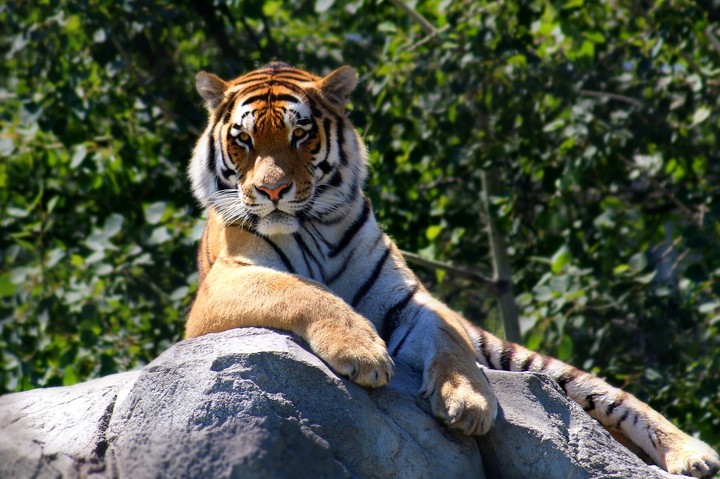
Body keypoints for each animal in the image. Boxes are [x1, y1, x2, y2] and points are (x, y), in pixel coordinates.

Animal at [185, 62, 719, 478]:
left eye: (300, 134)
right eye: (244, 140)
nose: (272, 190)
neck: (314, 225)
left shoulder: (409, 299)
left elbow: (448, 339)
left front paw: (469, 403)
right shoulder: (223, 286)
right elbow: (303, 291)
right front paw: (364, 353)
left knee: (614, 397)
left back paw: (693, 455)